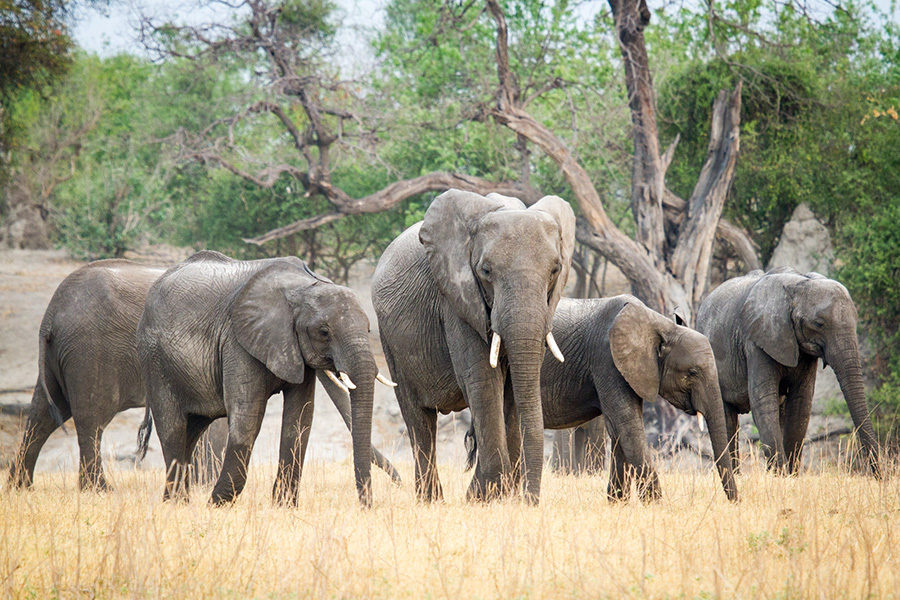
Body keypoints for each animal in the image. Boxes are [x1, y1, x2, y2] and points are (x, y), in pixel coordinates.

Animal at [464, 298, 740, 504]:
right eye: (692, 373)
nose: (736, 502)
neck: (658, 324)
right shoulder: (607, 359)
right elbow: (627, 425)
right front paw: (657, 506)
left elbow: (619, 430)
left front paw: (616, 503)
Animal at [696, 270, 880, 476]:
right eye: (819, 324)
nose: (879, 476)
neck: (799, 284)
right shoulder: (756, 342)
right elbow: (764, 402)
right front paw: (780, 476)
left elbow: (800, 404)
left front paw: (789, 476)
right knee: (727, 418)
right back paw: (736, 475)